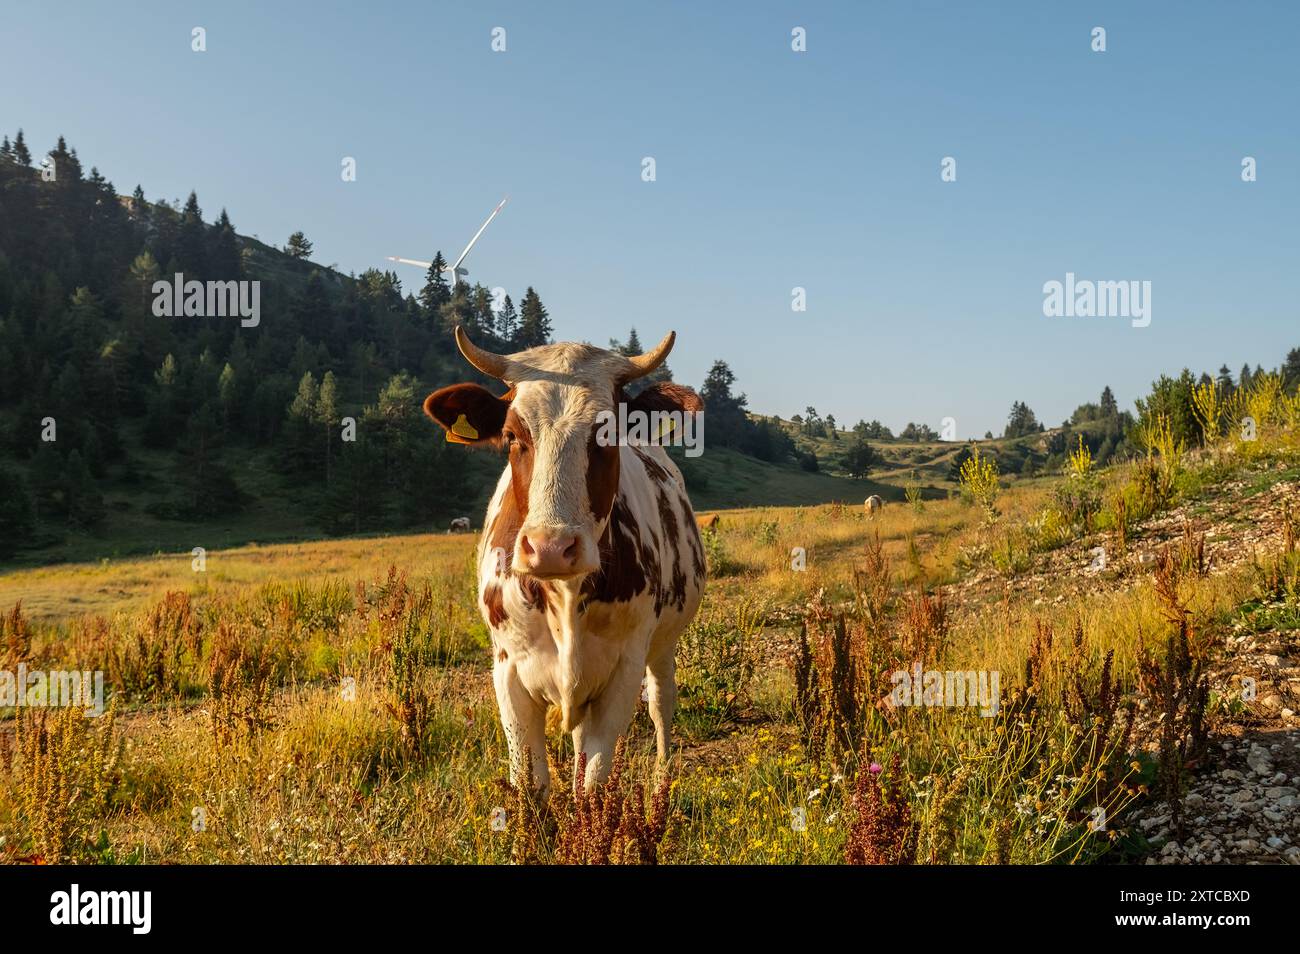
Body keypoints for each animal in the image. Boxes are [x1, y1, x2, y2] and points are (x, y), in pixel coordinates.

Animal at [421, 328, 707, 790]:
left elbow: (592, 784)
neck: (565, 594)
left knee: (661, 702)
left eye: (607, 434)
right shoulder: (508, 671)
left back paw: (663, 778)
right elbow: (532, 783)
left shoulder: (623, 671)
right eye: (512, 436)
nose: (551, 547)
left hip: (663, 644)